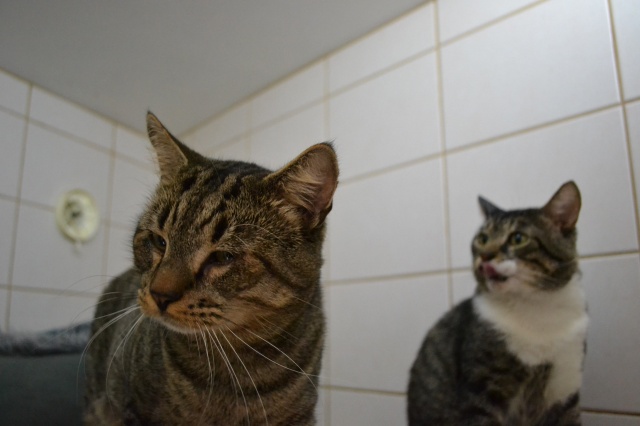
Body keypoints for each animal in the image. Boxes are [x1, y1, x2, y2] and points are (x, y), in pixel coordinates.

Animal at [407, 181, 588, 426]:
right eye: (482, 239)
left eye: (518, 238)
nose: (484, 255)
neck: (535, 307)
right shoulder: (481, 392)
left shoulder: (566, 384)